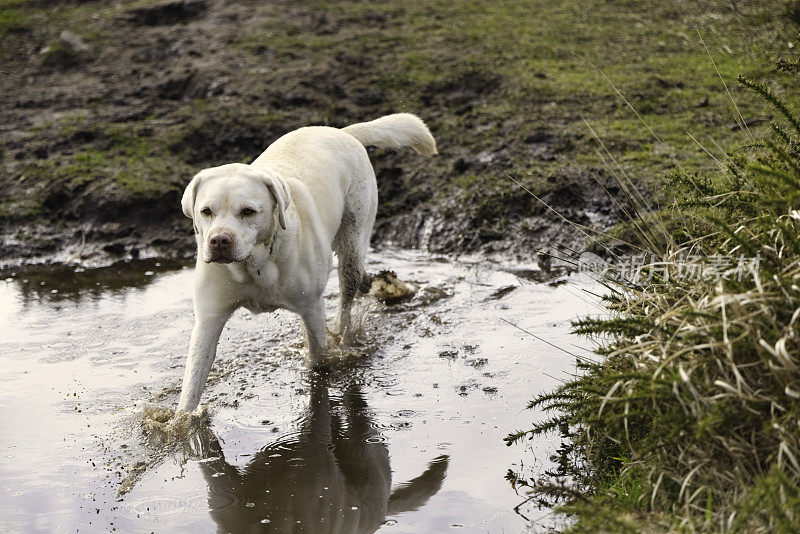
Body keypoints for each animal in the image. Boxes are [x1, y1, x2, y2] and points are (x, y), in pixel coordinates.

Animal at [177, 115, 438, 412]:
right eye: (206, 211)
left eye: (248, 211)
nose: (219, 241)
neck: (254, 266)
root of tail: (342, 132)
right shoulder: (209, 319)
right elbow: (192, 386)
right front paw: (182, 420)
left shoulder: (311, 306)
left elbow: (319, 359)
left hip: (352, 242)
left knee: (347, 304)